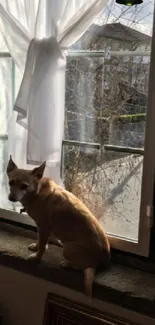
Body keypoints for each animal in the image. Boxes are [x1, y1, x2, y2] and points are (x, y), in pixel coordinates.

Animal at [6, 155, 110, 296]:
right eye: (11, 183)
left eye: (24, 186)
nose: (11, 198)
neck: (37, 192)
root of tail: (98, 263)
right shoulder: (41, 228)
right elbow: (40, 242)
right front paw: (36, 247)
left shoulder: (44, 228)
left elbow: (42, 247)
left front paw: (37, 257)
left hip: (68, 249)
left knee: (80, 266)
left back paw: (67, 264)